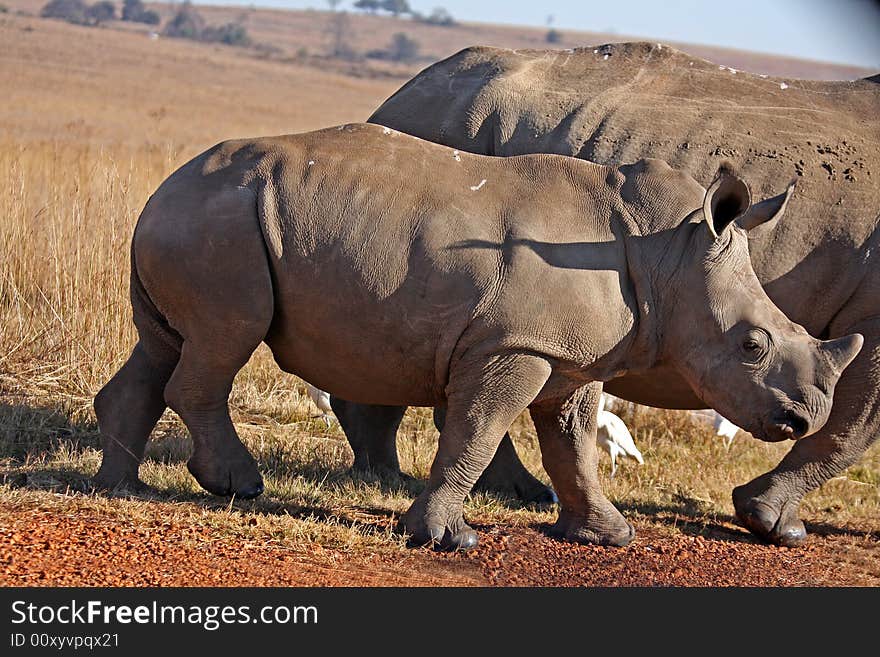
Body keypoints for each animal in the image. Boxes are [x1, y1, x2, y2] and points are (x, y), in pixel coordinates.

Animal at [93, 123, 864, 548]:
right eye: (753, 345)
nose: (803, 417)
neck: (669, 252)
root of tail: (161, 188)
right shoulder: (514, 345)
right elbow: (477, 431)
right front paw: (448, 539)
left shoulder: (571, 355)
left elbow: (574, 443)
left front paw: (608, 534)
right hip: (219, 221)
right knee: (223, 340)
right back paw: (238, 485)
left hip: (206, 214)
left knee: (167, 343)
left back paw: (122, 489)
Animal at [334, 39, 880, 544]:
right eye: (751, 345)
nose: (801, 417)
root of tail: (408, 88)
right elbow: (853, 426)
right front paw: (773, 525)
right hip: (445, 127)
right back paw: (407, 480)